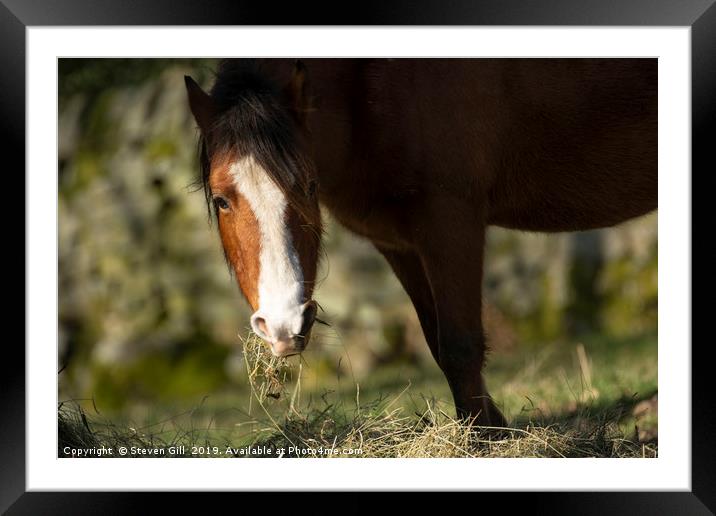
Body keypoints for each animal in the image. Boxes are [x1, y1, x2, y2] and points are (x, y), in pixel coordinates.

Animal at [185, 58, 656, 426]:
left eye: (309, 186)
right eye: (222, 200)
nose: (284, 327)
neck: (369, 84)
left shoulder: (450, 220)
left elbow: (461, 344)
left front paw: (484, 441)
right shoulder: (400, 245)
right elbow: (436, 342)